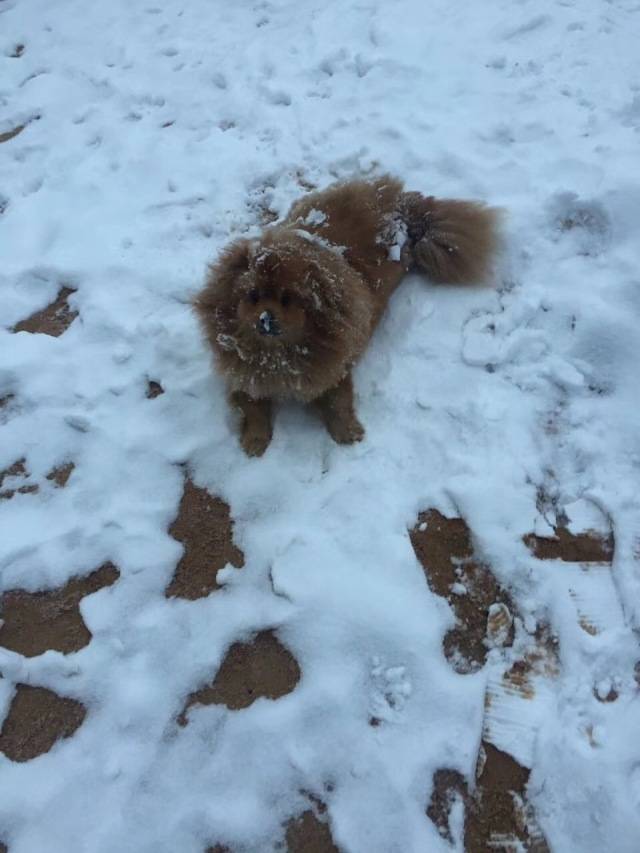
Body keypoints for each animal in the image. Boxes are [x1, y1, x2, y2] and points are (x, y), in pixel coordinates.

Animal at [195, 176, 500, 456]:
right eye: (253, 296)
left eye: (288, 299)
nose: (265, 319)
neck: (278, 354)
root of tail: (402, 206)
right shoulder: (244, 375)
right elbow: (253, 408)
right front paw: (255, 439)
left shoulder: (335, 368)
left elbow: (338, 402)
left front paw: (347, 431)